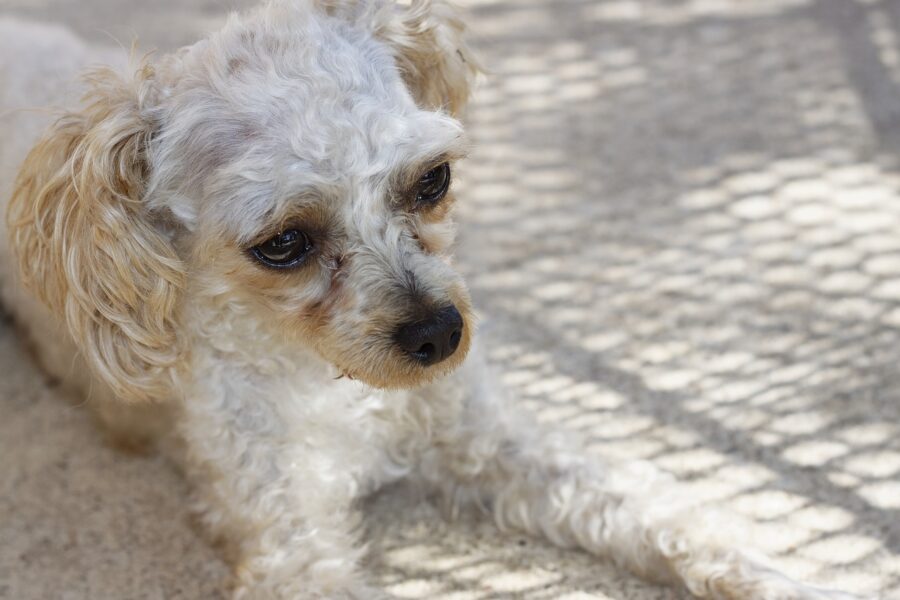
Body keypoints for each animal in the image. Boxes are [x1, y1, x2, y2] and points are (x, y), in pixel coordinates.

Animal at [0, 1, 872, 600]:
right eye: (282, 244)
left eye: (433, 180)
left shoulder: (497, 441)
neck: (341, 392)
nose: (440, 334)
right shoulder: (288, 535)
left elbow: (661, 511)